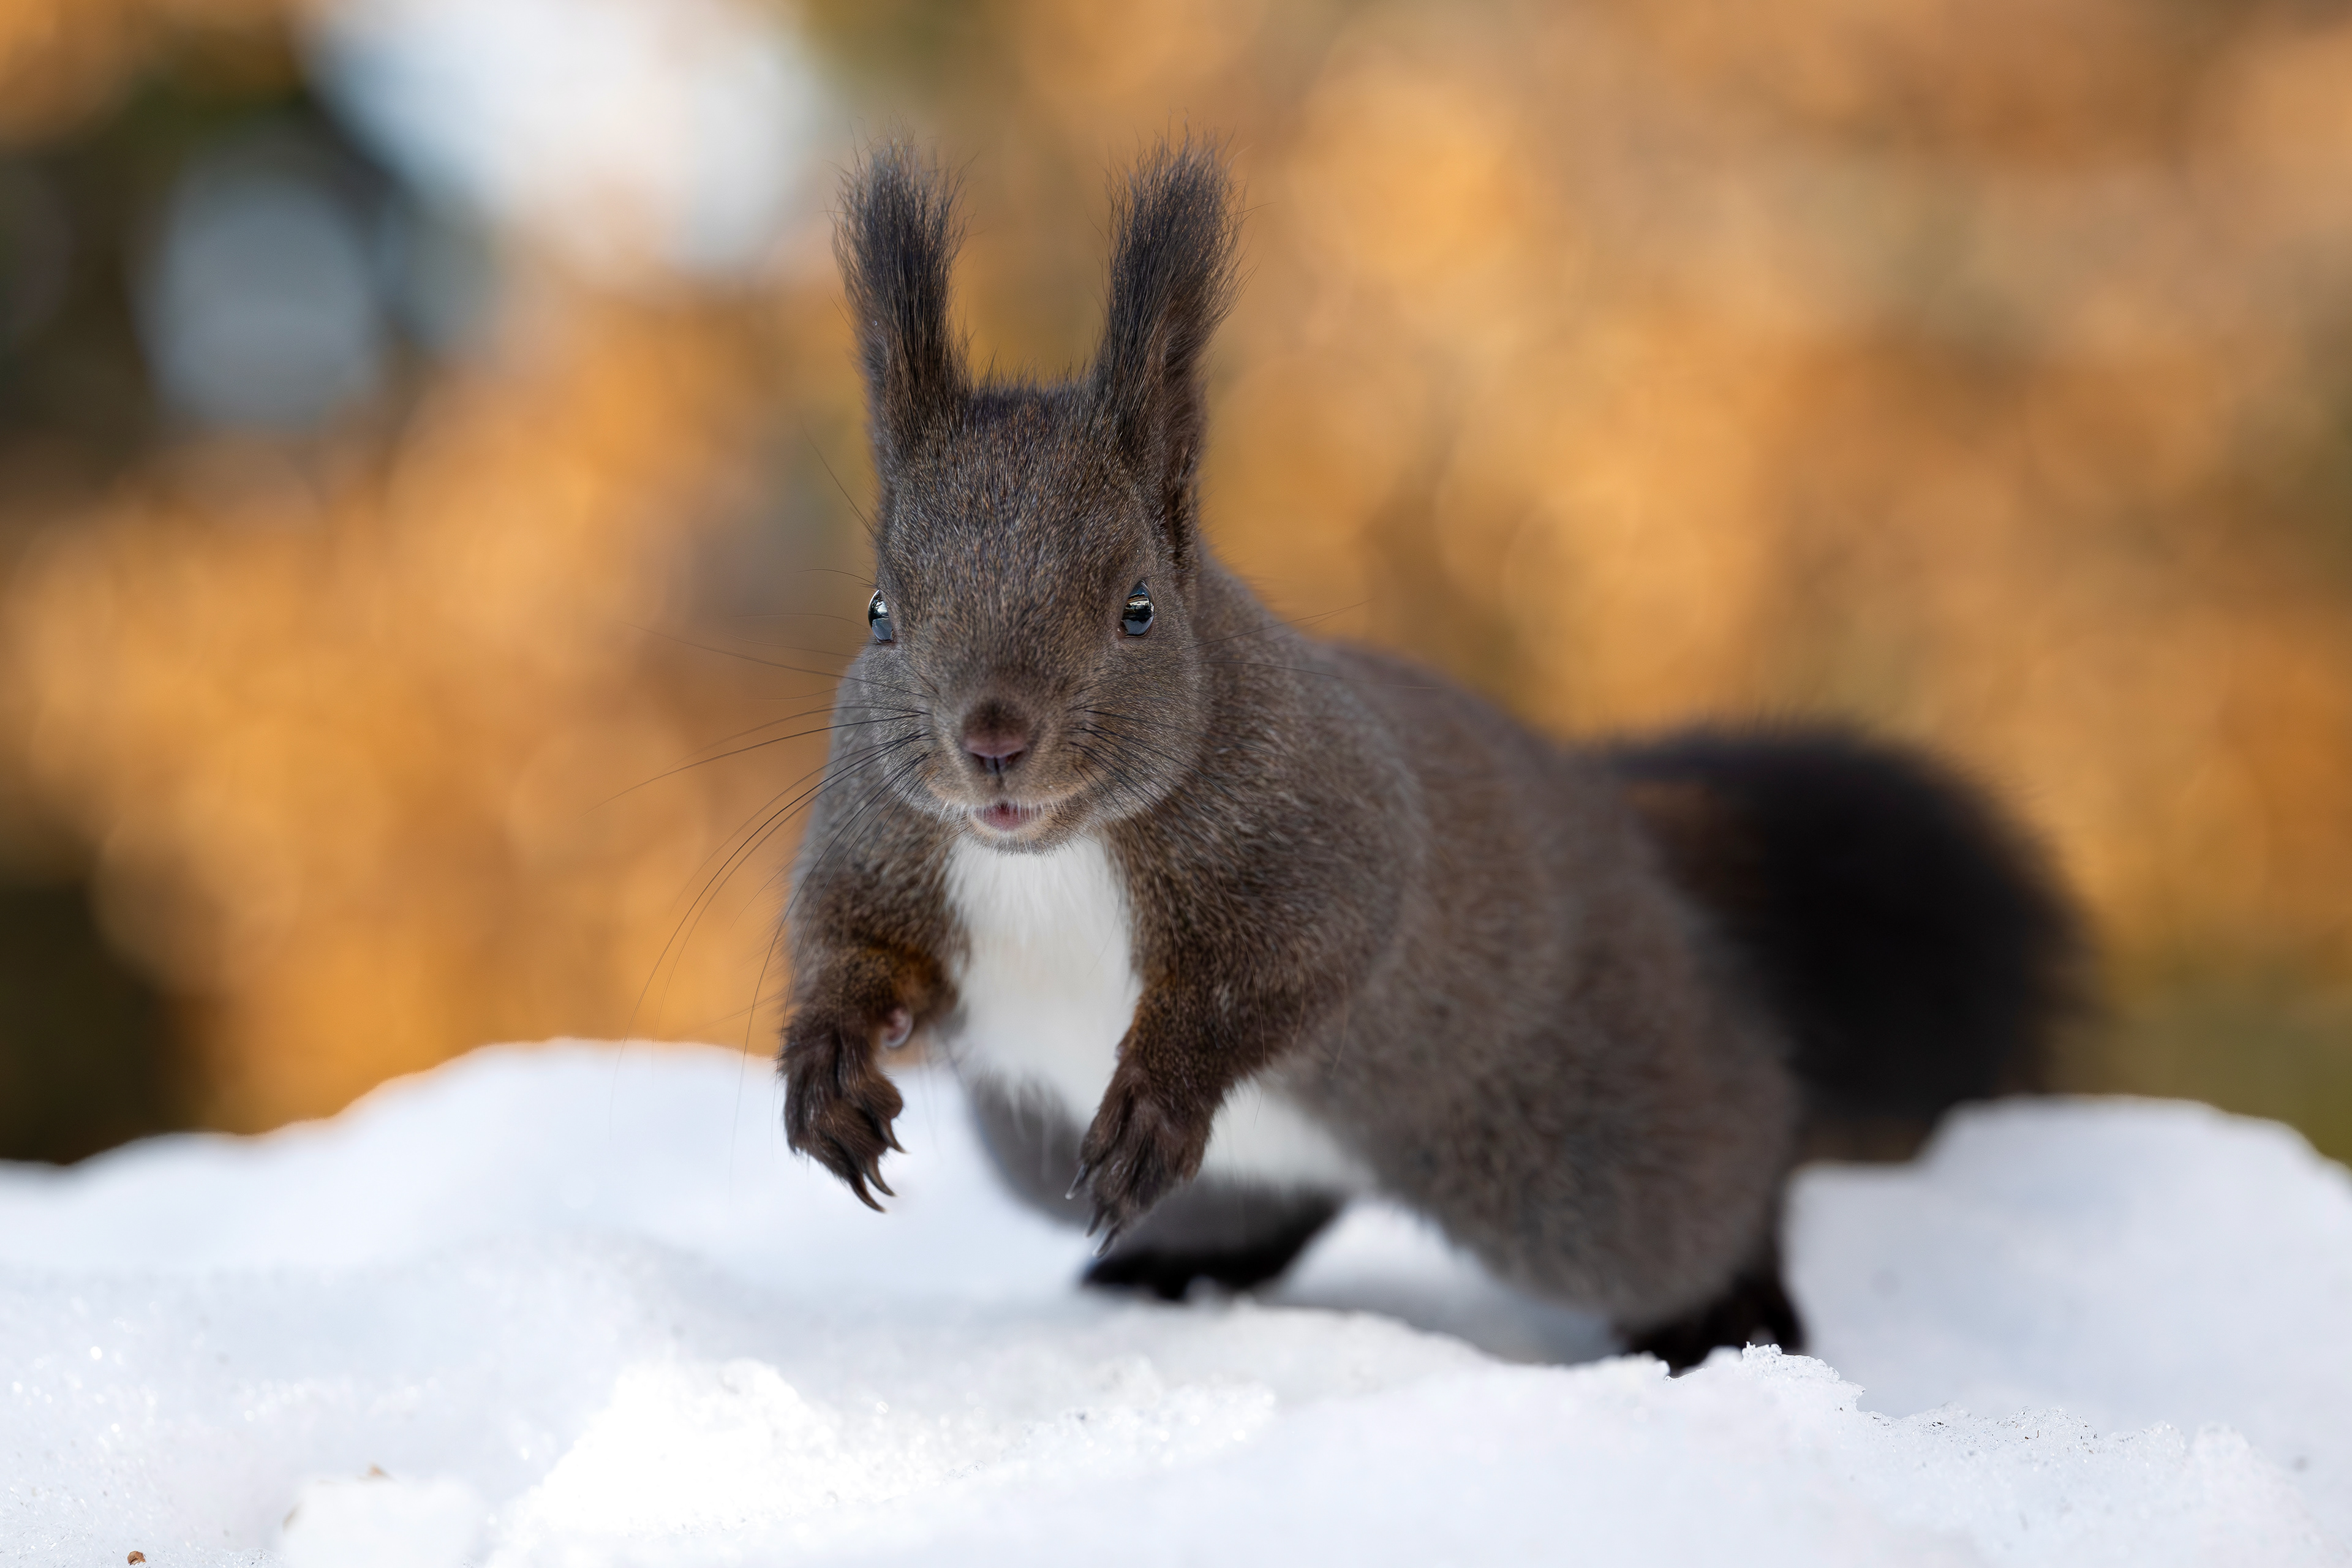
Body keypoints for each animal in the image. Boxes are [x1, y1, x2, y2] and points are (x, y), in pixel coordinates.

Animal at [778, 139, 2080, 1369]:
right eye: (882, 614)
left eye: (1137, 610)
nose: (992, 739)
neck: (1055, 856)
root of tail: (1627, 834)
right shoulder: (876, 843)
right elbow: (852, 946)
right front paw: (827, 1068)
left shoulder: (1330, 828)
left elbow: (1294, 960)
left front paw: (1161, 1089)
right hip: (1049, 1147)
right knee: (1263, 1207)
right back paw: (1167, 1270)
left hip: (1587, 1140)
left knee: (1722, 1169)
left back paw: (1729, 1307)